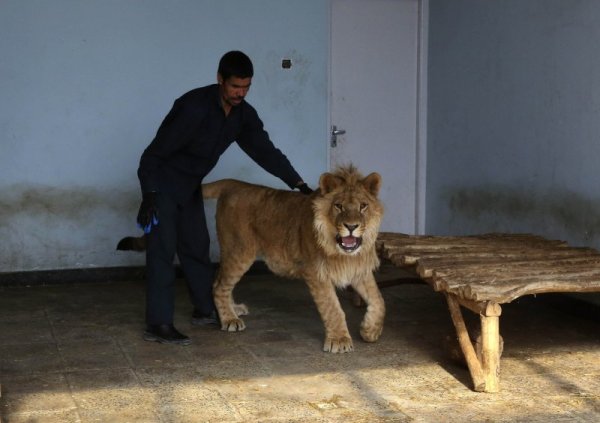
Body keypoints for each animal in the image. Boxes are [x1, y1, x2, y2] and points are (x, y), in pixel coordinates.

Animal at [204, 166, 386, 354]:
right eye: (338, 206)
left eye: (363, 206)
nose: (351, 226)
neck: (343, 254)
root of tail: (234, 184)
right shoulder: (316, 272)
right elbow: (332, 308)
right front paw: (339, 340)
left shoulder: (358, 269)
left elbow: (379, 300)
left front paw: (370, 330)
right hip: (239, 251)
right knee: (219, 285)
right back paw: (229, 319)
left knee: (220, 279)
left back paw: (234, 310)